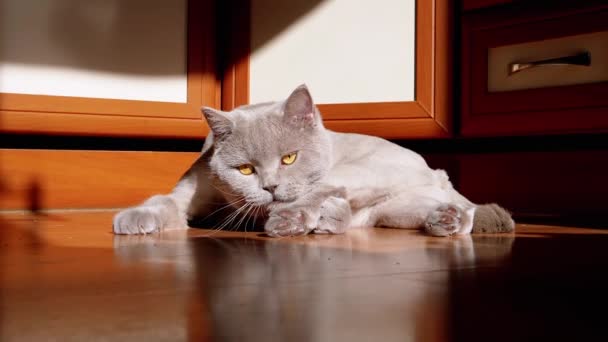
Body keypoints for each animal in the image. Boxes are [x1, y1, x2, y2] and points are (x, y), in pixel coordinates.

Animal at [113, 84, 512, 236]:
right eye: (245, 169)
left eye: (289, 158)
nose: (271, 187)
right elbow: (164, 202)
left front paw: (285, 217)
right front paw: (134, 219)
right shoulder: (192, 188)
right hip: (395, 210)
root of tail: (437, 170)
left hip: (367, 170)